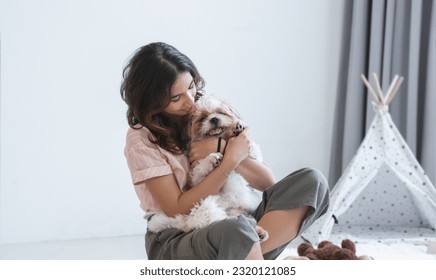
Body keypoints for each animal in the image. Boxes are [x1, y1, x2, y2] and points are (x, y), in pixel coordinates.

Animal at [147, 95, 270, 242]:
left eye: (221, 113)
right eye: (202, 118)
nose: (214, 119)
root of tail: (185, 221)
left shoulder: (255, 158)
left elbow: (253, 151)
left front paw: (238, 127)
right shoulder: (197, 180)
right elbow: (201, 169)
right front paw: (212, 158)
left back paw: (260, 232)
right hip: (206, 208)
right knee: (224, 220)